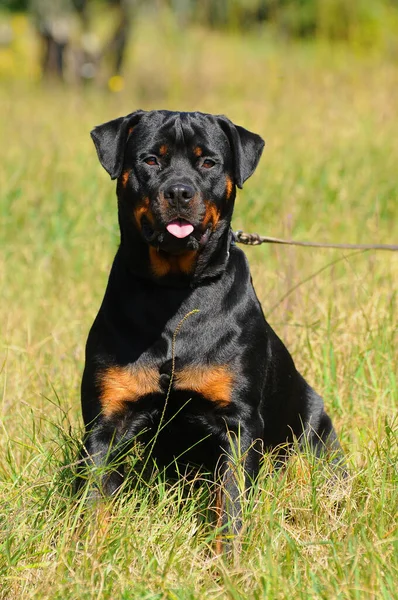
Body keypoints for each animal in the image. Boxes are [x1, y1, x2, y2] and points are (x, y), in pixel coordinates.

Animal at [81, 111, 346, 548]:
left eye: (208, 162)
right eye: (151, 159)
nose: (179, 192)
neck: (174, 294)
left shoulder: (236, 423)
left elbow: (231, 504)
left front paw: (229, 556)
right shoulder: (106, 418)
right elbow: (93, 499)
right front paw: (86, 553)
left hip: (314, 434)